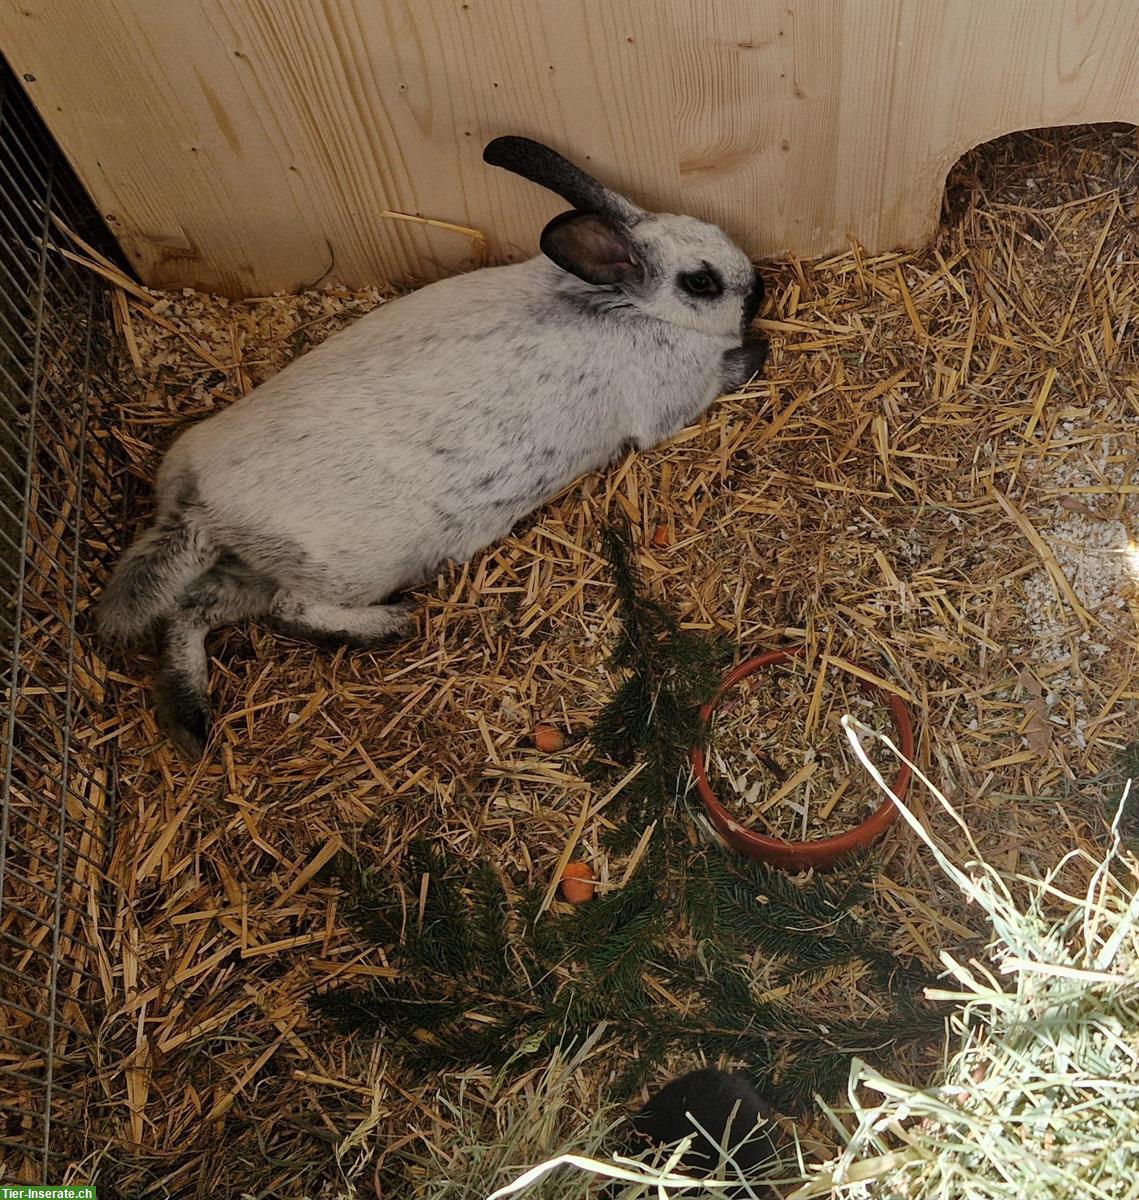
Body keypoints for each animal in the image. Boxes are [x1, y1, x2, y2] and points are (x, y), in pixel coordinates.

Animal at [97, 135, 768, 759]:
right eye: (702, 282)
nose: (759, 287)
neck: (624, 304)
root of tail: (199, 510)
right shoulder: (671, 404)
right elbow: (721, 375)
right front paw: (755, 350)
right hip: (348, 568)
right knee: (288, 609)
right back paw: (390, 625)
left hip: (243, 573)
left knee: (190, 613)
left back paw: (191, 723)